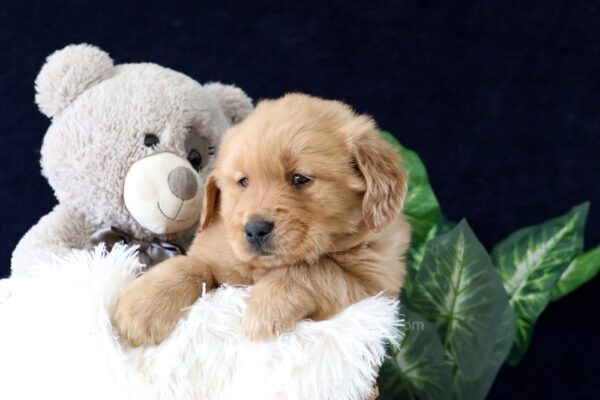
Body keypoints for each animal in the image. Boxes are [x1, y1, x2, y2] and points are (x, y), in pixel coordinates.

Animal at [112, 94, 410, 346]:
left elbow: (316, 269)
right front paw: (140, 307)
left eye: (300, 178)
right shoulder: (218, 258)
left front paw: (266, 308)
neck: (263, 269)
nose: (255, 229)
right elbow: (190, 266)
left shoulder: (376, 287)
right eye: (243, 182)